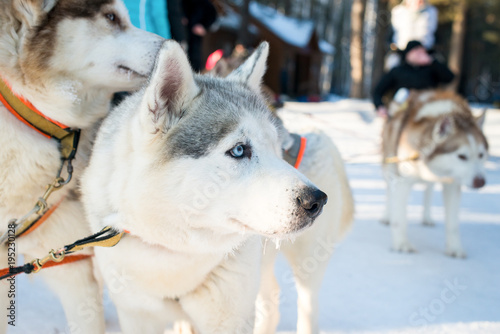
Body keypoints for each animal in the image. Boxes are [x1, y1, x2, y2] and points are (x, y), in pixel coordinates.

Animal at [80, 41, 326, 334]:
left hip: (305, 264)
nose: (317, 200)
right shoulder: (137, 315)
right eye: (239, 150)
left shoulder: (230, 317)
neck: (176, 254)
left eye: (275, 149)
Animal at [382, 90, 488, 258]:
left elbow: (452, 223)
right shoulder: (402, 181)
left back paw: (427, 217)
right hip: (390, 164)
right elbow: (400, 218)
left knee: (429, 189)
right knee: (389, 190)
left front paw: (454, 248)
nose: (480, 182)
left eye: (481, 155)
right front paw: (401, 244)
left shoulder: (453, 185)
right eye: (462, 156)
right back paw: (387, 216)